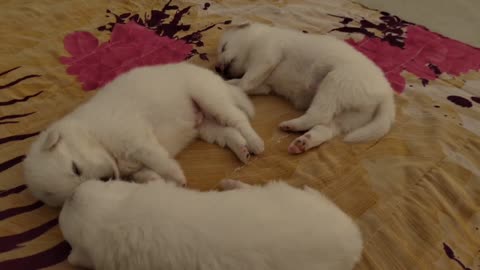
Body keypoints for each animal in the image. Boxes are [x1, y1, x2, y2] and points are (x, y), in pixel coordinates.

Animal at [23, 62, 262, 207]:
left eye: (75, 168)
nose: (107, 179)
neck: (94, 134)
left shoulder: (136, 138)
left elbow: (158, 159)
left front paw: (177, 177)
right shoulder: (134, 166)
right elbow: (146, 173)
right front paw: (158, 181)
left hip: (208, 97)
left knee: (239, 119)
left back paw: (255, 143)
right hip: (206, 126)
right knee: (229, 132)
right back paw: (242, 150)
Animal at [216, 22, 396, 154]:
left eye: (223, 47)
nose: (217, 68)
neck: (257, 38)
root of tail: (386, 93)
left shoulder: (266, 56)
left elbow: (246, 80)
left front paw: (235, 88)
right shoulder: (265, 85)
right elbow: (243, 82)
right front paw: (227, 84)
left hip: (334, 83)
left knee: (319, 115)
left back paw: (292, 125)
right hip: (349, 117)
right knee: (325, 128)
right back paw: (302, 142)